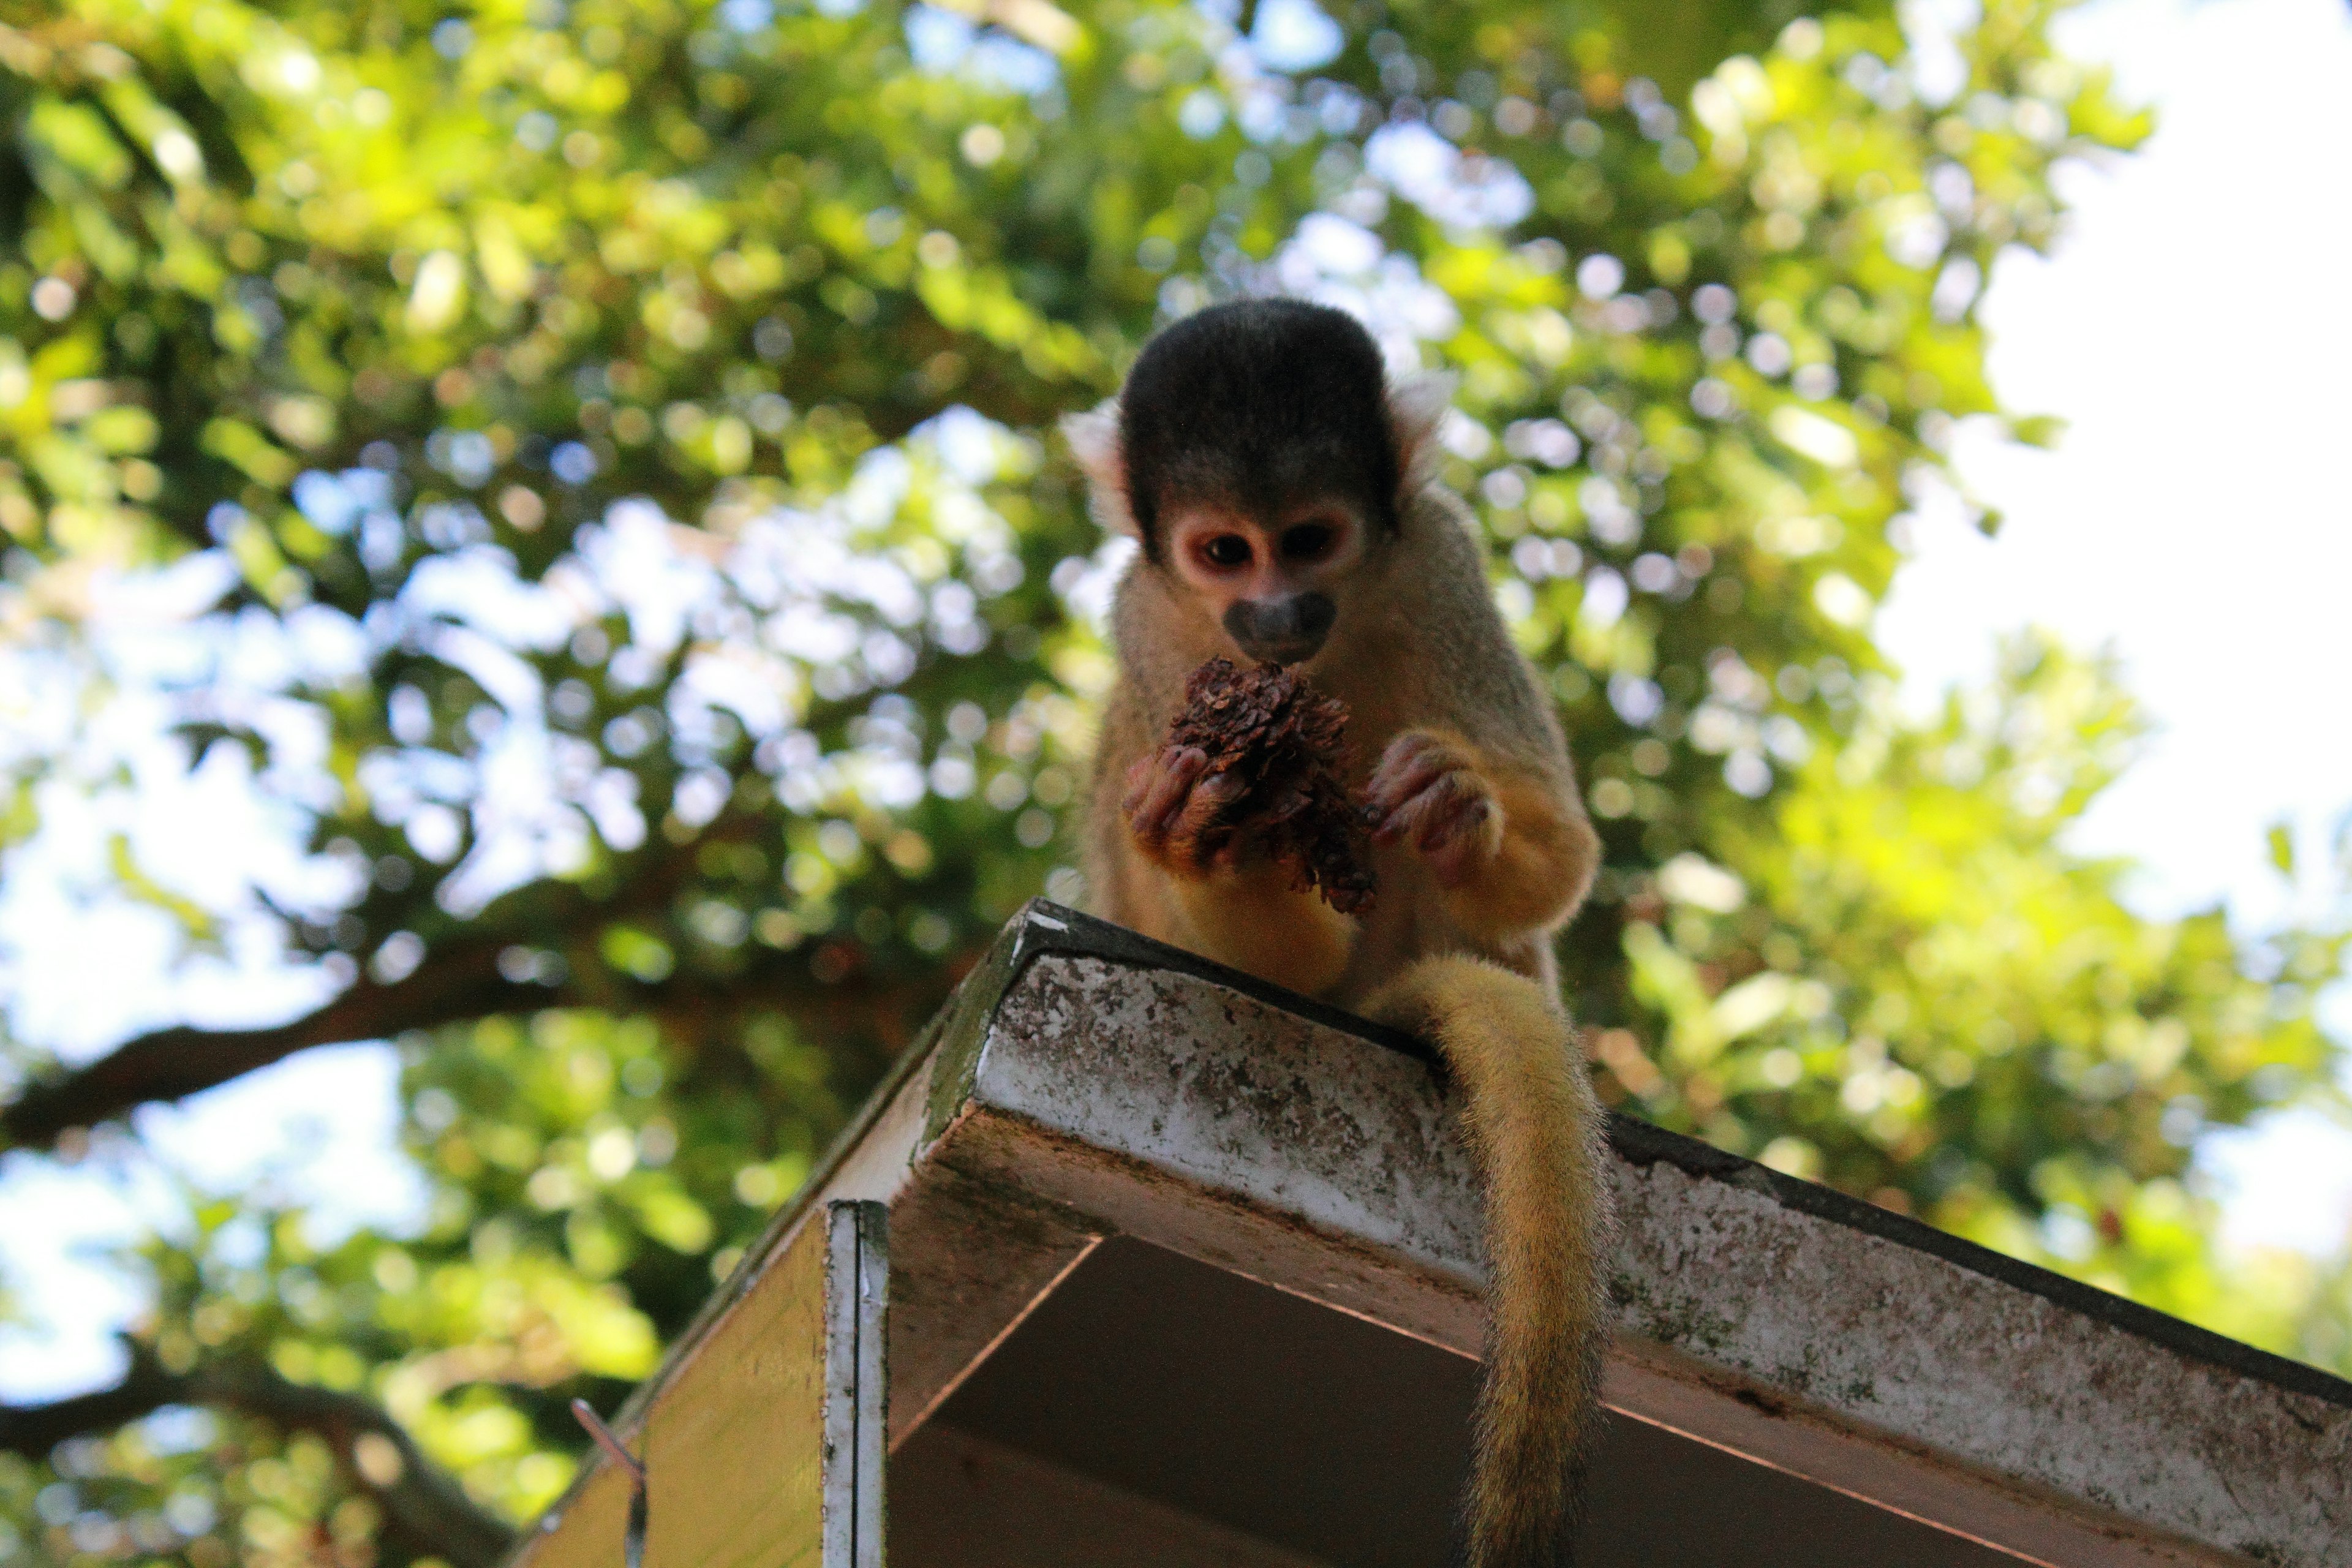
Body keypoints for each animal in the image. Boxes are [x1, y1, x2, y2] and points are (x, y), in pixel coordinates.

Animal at [1072, 301, 1608, 1561]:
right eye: (1226, 554)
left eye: (1310, 540)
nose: (1275, 613)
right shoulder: (1149, 622)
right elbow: (1267, 958)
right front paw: (1207, 833)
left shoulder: (1444, 562)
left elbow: (1561, 852)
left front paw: (1461, 804)